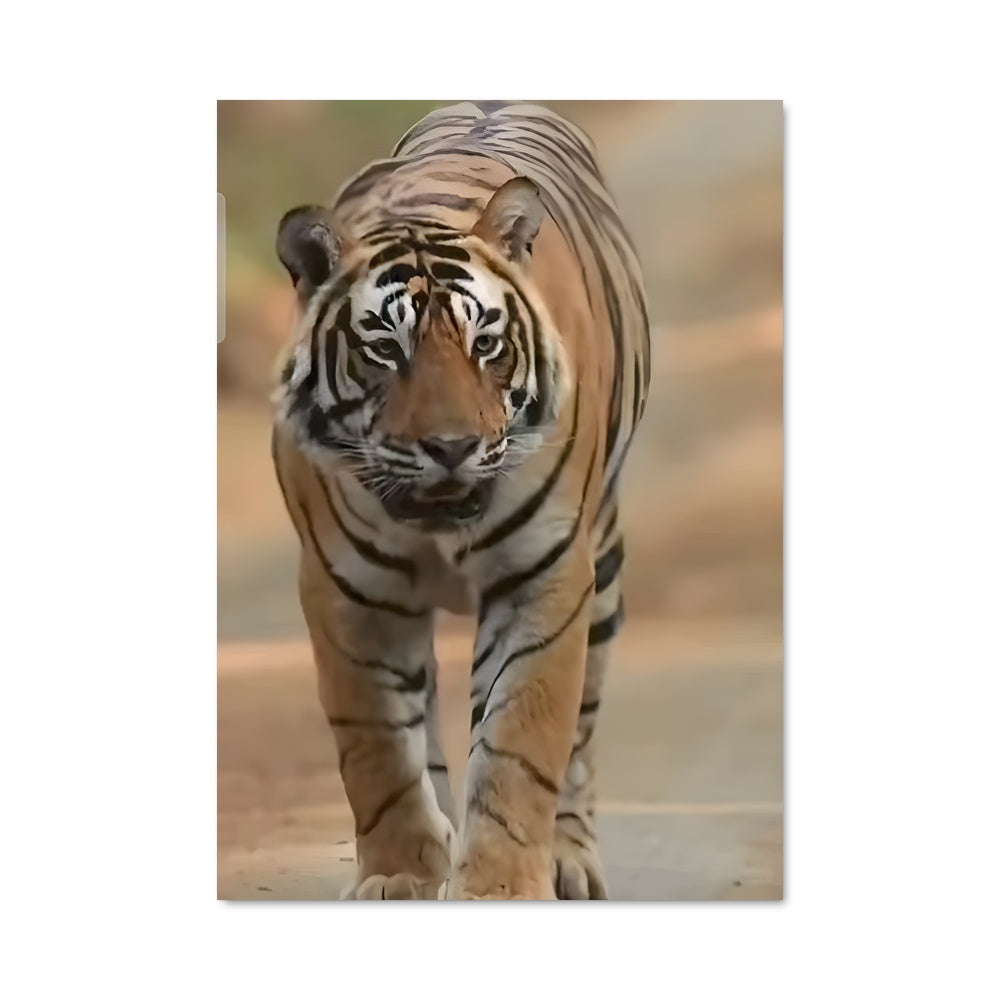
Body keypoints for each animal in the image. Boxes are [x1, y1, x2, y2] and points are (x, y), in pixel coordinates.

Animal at [270, 101, 650, 900]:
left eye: (486, 344)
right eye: (385, 349)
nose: (451, 446)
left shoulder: (546, 577)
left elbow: (520, 745)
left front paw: (502, 884)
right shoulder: (348, 593)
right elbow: (379, 753)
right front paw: (399, 875)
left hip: (603, 564)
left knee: (579, 730)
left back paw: (568, 858)